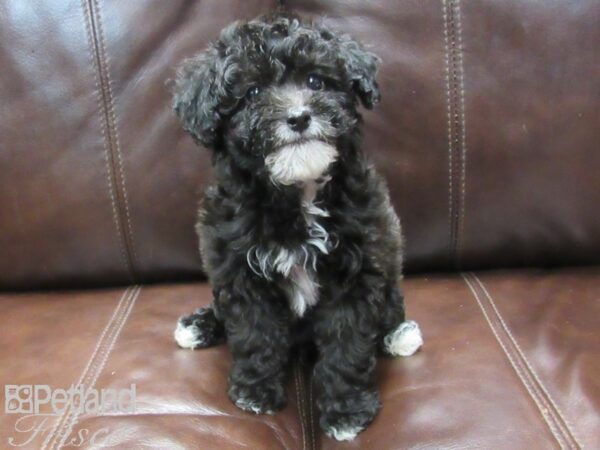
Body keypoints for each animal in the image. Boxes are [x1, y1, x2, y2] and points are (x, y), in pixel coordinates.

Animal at [170, 12, 422, 442]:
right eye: (252, 92)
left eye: (316, 81)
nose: (299, 117)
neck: (299, 192)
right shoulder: (239, 269)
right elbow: (255, 331)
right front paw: (256, 391)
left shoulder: (359, 268)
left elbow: (347, 343)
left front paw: (346, 411)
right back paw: (198, 325)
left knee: (390, 307)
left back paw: (399, 334)